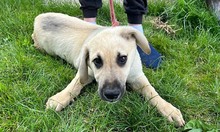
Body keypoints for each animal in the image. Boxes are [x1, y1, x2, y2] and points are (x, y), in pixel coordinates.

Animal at [31, 12, 185, 127]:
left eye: (123, 58)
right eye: (97, 61)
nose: (111, 95)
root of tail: (38, 17)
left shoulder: (137, 76)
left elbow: (152, 92)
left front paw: (169, 110)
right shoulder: (85, 72)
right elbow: (74, 86)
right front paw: (59, 99)